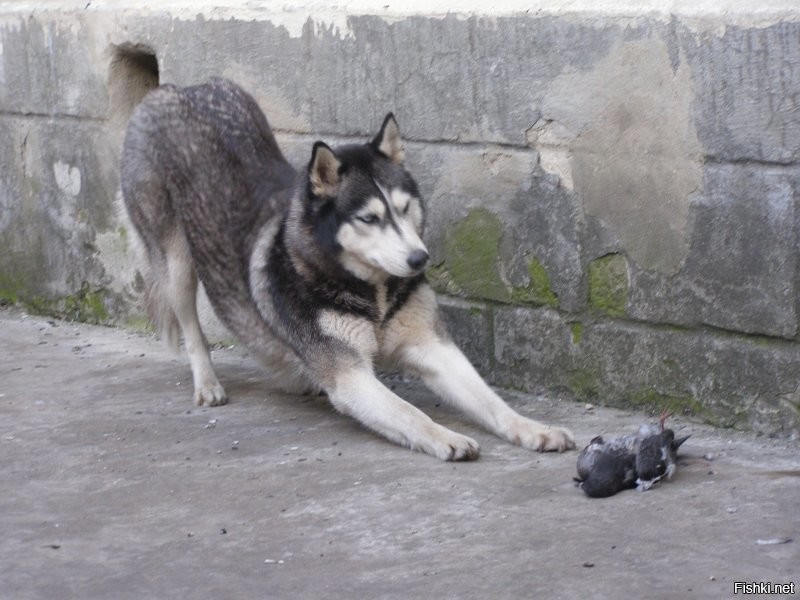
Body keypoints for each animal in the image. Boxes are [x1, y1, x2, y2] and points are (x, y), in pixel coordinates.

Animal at [120, 78, 576, 460]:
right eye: (369, 219)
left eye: (403, 208)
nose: (419, 260)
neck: (374, 293)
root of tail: (176, 89)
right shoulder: (350, 376)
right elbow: (409, 412)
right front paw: (445, 436)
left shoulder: (432, 346)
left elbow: (490, 400)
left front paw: (532, 428)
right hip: (175, 262)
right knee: (190, 324)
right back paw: (208, 383)